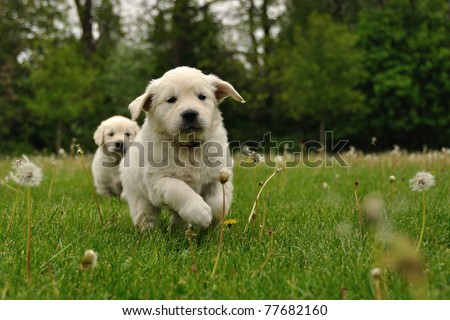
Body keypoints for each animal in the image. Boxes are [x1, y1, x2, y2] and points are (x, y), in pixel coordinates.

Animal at [121, 66, 244, 230]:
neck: (189, 147)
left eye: (202, 96)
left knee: (179, 217)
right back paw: (149, 232)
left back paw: (177, 230)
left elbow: (219, 202)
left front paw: (212, 221)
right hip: (138, 195)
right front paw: (200, 212)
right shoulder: (159, 179)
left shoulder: (218, 174)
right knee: (145, 215)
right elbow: (179, 189)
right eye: (171, 99)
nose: (190, 114)